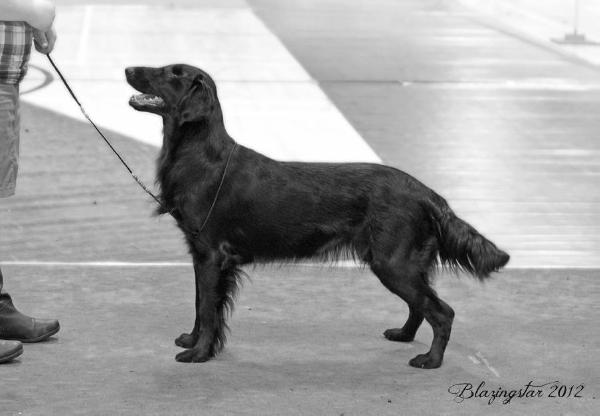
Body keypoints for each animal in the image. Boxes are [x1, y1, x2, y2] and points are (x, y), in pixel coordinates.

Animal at [126, 63, 510, 368]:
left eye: (172, 73)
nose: (128, 69)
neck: (200, 158)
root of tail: (428, 193)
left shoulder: (211, 255)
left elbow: (207, 309)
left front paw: (199, 354)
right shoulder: (200, 255)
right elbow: (198, 305)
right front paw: (192, 341)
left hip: (393, 263)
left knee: (442, 312)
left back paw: (430, 360)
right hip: (400, 264)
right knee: (422, 306)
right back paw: (403, 335)